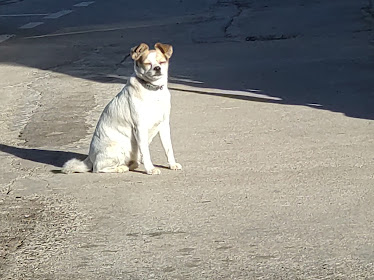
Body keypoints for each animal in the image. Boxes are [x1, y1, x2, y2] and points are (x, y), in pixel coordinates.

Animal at [62, 42, 182, 174]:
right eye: (147, 63)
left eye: (162, 62)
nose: (157, 68)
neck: (153, 91)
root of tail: (90, 158)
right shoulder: (140, 127)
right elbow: (146, 152)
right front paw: (150, 169)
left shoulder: (164, 125)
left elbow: (168, 148)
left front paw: (172, 164)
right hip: (117, 149)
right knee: (98, 168)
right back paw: (121, 168)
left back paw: (131, 164)